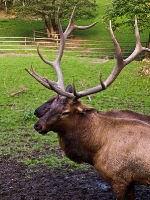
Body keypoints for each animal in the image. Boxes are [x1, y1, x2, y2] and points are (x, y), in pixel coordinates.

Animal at [25, 6, 150, 200]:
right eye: (52, 104)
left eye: (66, 112)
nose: (38, 125)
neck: (95, 149)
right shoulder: (130, 182)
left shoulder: (120, 179)